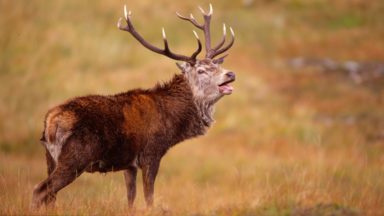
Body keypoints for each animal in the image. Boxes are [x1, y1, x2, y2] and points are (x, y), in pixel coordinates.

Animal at [33, 3, 236, 209]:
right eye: (201, 70)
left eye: (217, 65)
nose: (230, 74)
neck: (173, 124)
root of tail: (50, 122)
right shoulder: (151, 153)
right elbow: (149, 197)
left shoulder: (129, 164)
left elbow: (131, 197)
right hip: (76, 157)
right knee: (40, 190)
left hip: (50, 158)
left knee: (50, 195)